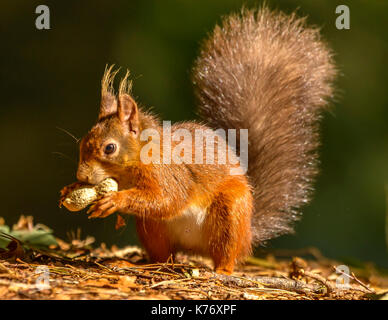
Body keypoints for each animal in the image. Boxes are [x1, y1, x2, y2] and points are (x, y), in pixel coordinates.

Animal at [58, 6, 336, 276]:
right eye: (82, 142)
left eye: (110, 148)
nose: (82, 176)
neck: (131, 168)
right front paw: (71, 188)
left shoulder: (170, 174)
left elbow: (168, 199)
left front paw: (115, 200)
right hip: (152, 228)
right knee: (164, 256)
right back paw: (141, 264)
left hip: (231, 212)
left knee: (227, 253)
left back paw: (223, 270)